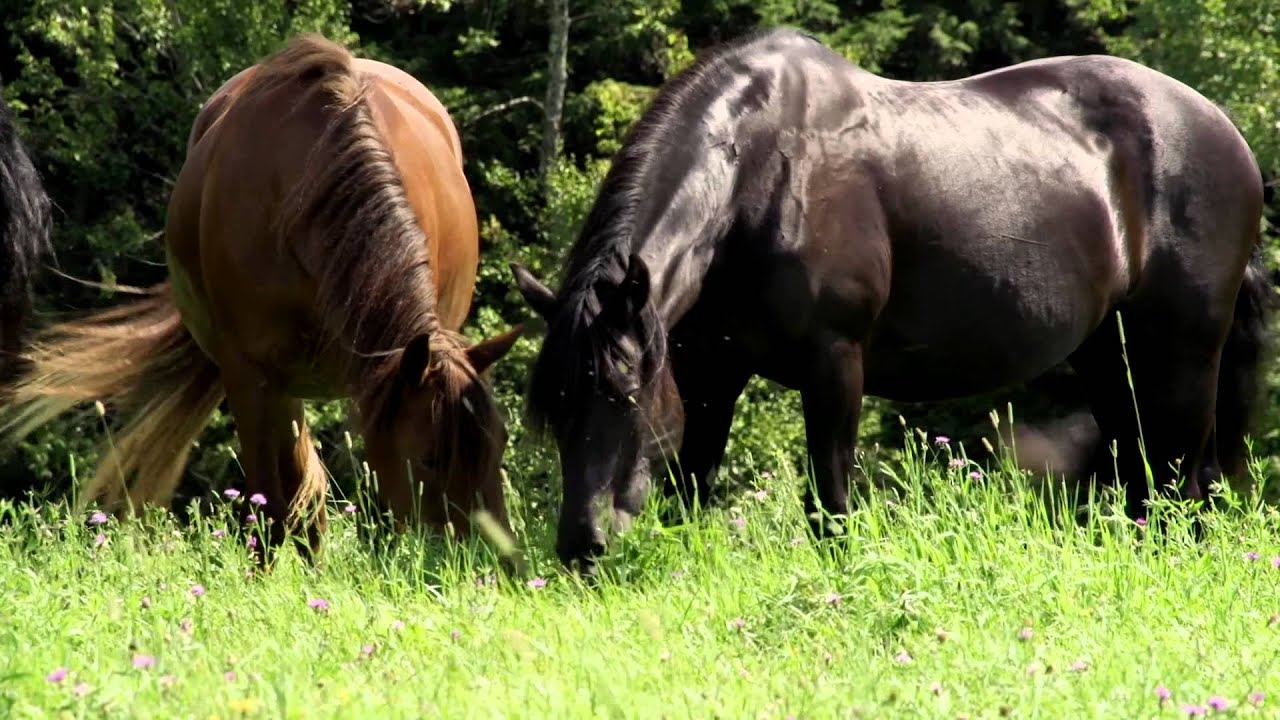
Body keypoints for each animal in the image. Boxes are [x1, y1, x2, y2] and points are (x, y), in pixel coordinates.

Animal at [0, 34, 523, 561]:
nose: (489, 563)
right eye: (430, 457)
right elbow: (272, 503)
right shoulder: (252, 377)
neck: (305, 199)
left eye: (498, 445)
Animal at [511, 27, 1271, 573]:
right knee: (1140, 476)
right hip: (1109, 355)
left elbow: (829, 498)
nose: (579, 546)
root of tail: (1224, 130)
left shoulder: (834, 361)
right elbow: (689, 488)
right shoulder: (709, 371)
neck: (761, 174)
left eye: (622, 397)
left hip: (1185, 351)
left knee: (1186, 480)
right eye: (554, 407)